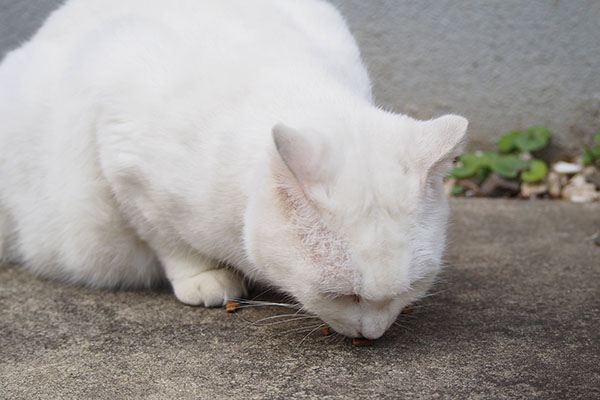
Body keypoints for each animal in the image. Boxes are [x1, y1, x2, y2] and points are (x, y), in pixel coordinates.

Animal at [0, 0, 466, 340]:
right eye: (344, 295)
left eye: (412, 287)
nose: (373, 334)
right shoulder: (127, 168)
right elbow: (168, 239)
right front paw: (203, 276)